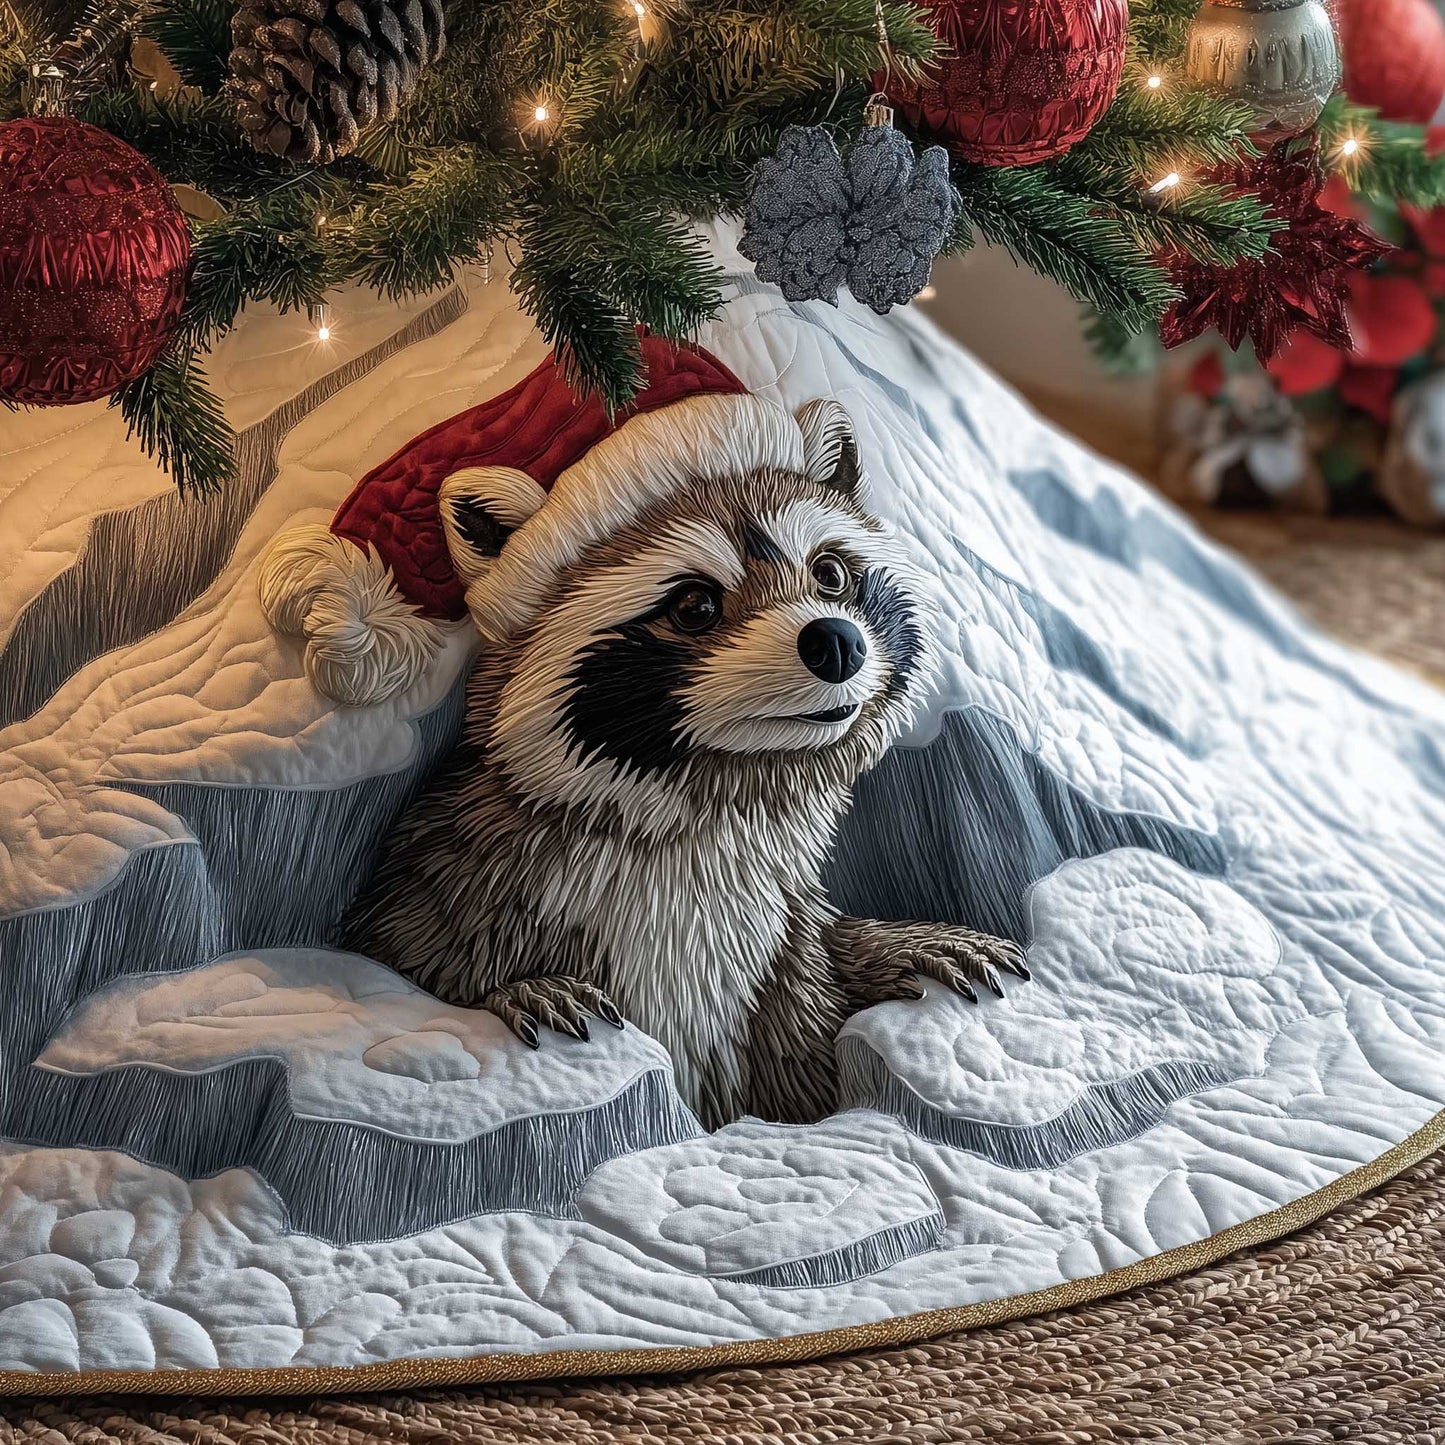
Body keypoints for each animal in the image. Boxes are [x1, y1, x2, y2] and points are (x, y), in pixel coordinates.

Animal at [342, 419, 1026, 1130]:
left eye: (831, 572)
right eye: (695, 605)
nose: (837, 641)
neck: (718, 799)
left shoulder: (784, 949)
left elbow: (820, 986)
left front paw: (892, 944)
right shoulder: (453, 881)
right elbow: (403, 962)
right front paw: (512, 991)